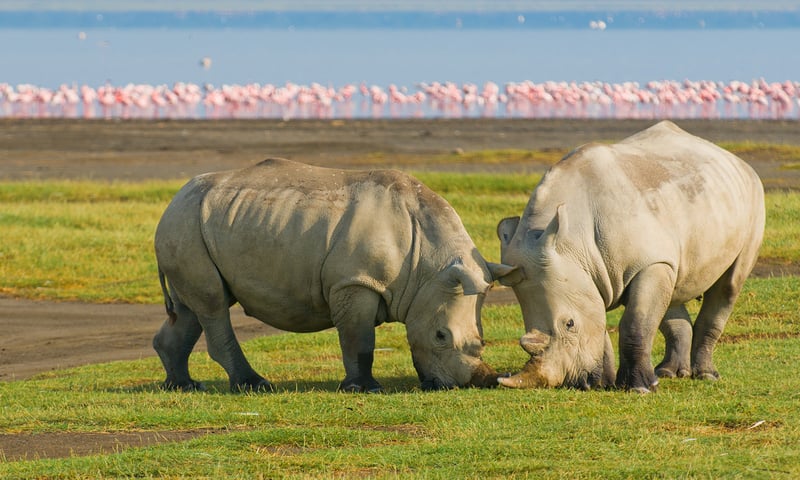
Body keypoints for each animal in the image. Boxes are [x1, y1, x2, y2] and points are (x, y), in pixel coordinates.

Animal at [153, 158, 512, 393]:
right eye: (440, 336)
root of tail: (173, 201)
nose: (469, 383)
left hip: (196, 224)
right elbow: (359, 338)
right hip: (185, 222)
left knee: (192, 307)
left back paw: (184, 385)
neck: (429, 265)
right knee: (212, 304)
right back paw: (254, 386)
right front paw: (364, 389)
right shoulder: (355, 281)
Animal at [495, 121, 765, 393]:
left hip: (753, 196)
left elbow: (635, 323)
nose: (577, 383)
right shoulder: (589, 275)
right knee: (673, 288)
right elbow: (600, 321)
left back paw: (706, 375)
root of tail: (734, 159)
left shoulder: (647, 263)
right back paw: (668, 373)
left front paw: (639, 388)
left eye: (569, 324)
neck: (572, 241)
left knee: (728, 286)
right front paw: (605, 383)